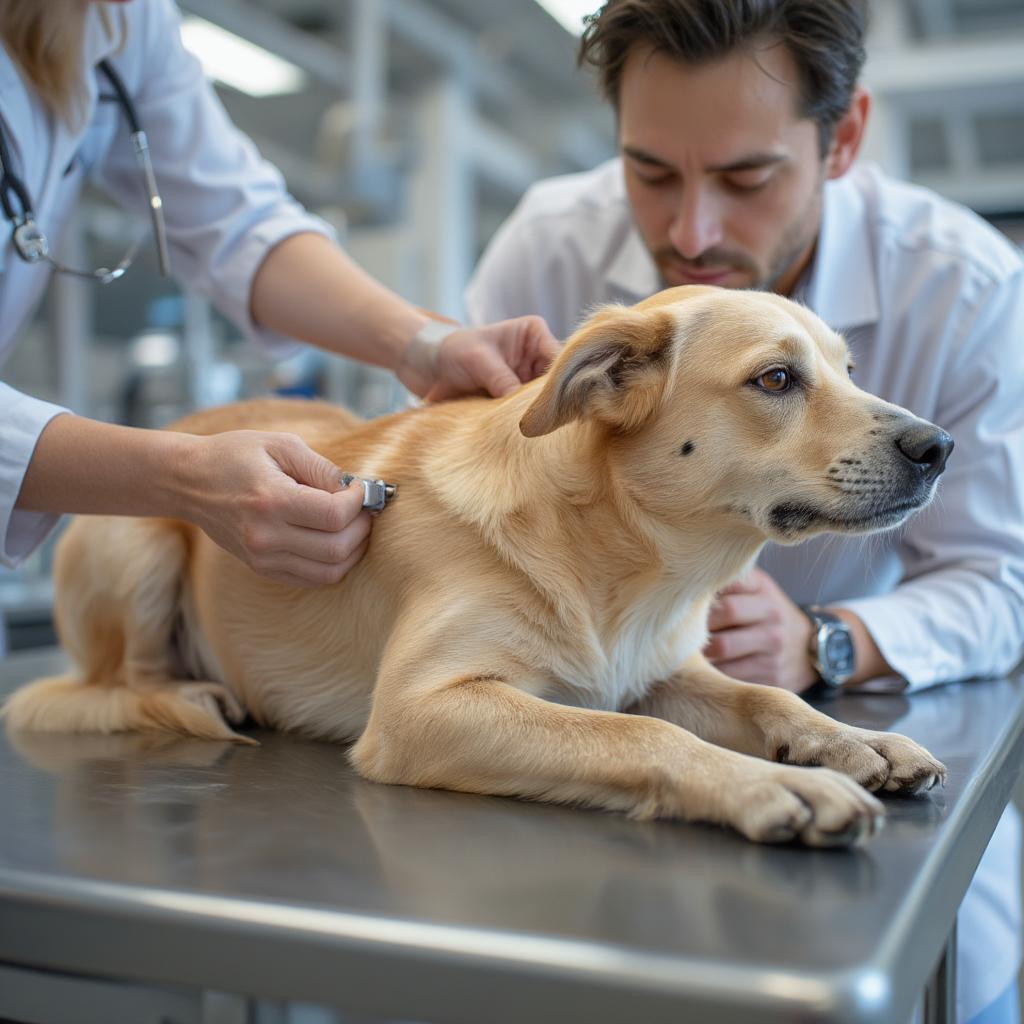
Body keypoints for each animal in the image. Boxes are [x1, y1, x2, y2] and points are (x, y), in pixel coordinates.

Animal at [8, 284, 950, 843]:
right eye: (777, 379)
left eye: (849, 370)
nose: (938, 446)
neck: (613, 562)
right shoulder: (421, 711)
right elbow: (638, 732)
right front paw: (771, 785)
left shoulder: (660, 670)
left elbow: (764, 695)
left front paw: (850, 739)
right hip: (137, 544)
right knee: (111, 686)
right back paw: (193, 696)